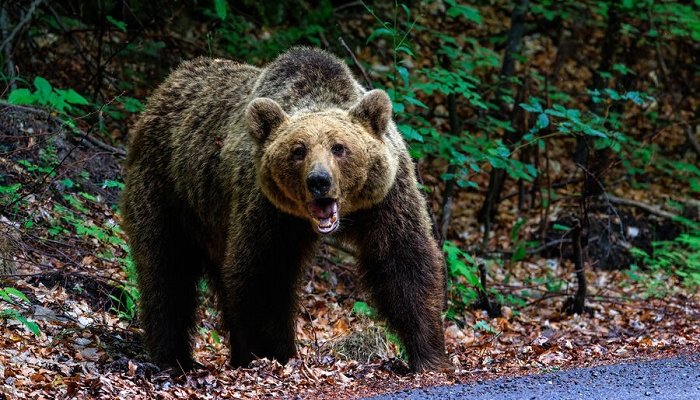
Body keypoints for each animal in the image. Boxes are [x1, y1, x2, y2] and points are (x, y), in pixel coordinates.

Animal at [120, 47, 448, 372]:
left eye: (339, 147)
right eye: (298, 150)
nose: (319, 181)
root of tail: (165, 87)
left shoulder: (385, 199)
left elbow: (404, 261)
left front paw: (428, 354)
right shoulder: (268, 210)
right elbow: (265, 275)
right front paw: (275, 353)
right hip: (167, 192)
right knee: (166, 269)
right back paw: (175, 357)